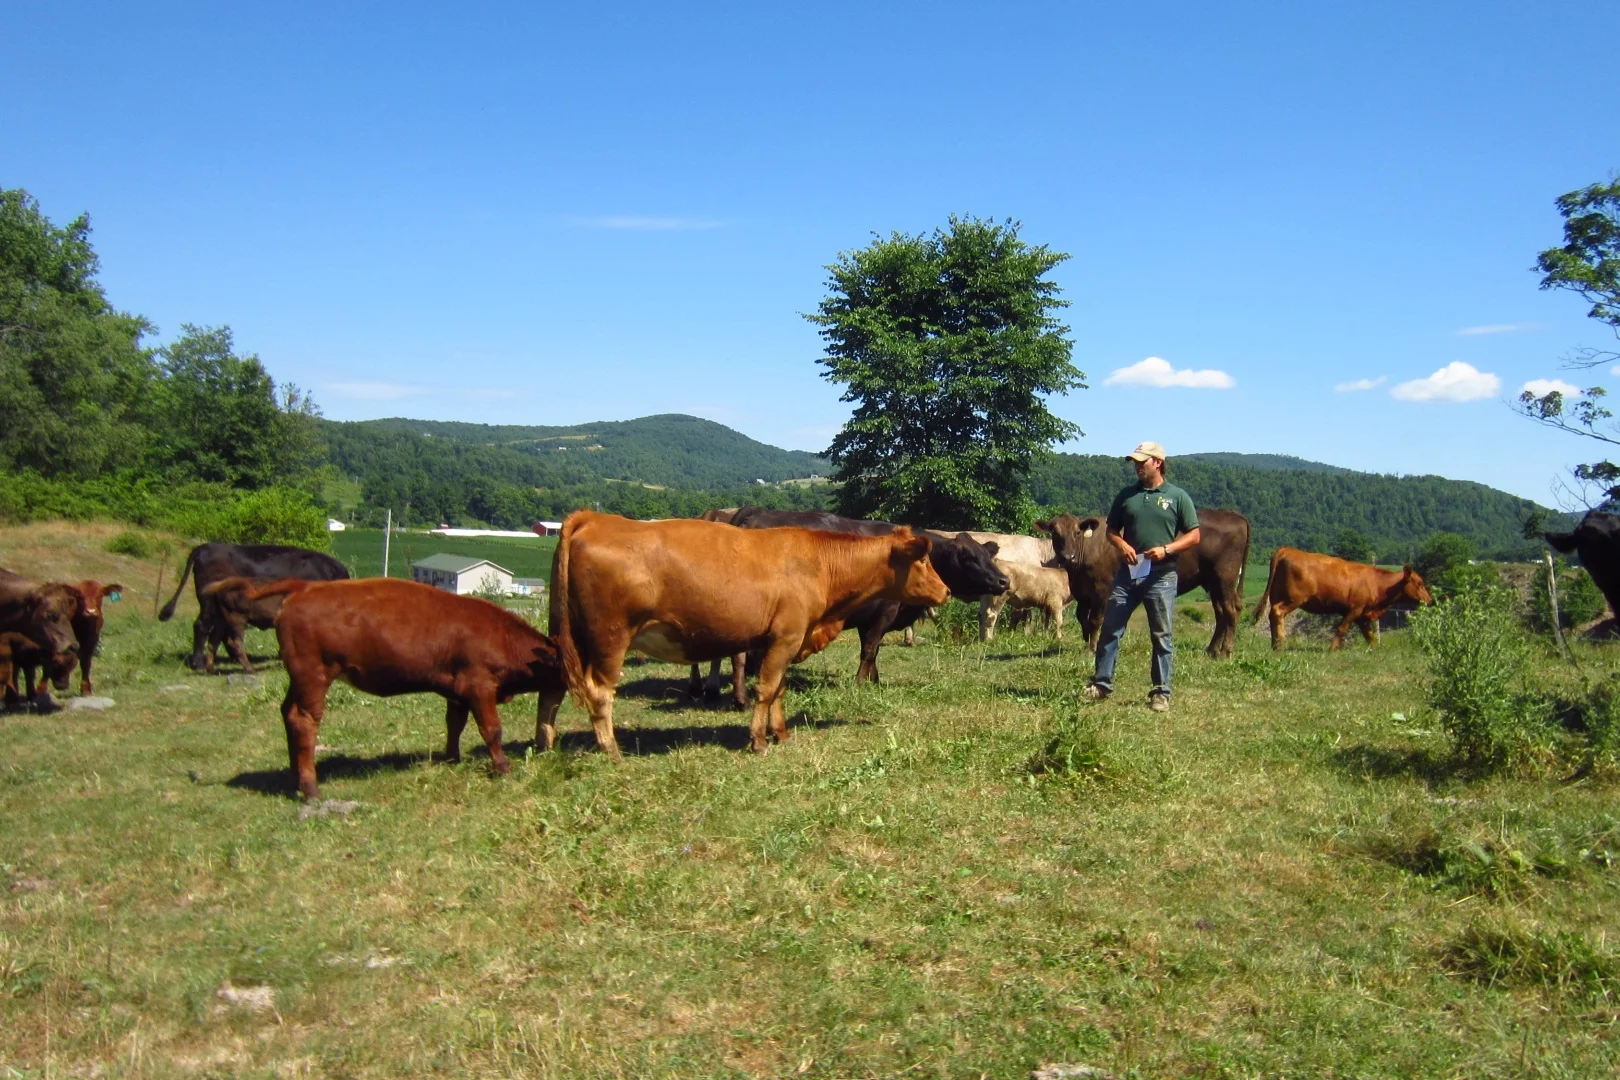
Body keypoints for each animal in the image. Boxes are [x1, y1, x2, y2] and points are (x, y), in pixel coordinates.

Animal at [235, 577, 565, 800]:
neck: (501, 636)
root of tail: (306, 587)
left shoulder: (457, 691)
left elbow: (454, 725)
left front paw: (452, 760)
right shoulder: (479, 685)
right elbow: (492, 730)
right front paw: (502, 768)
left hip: (299, 680)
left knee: (288, 713)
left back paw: (295, 777)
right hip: (313, 676)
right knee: (304, 721)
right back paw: (311, 788)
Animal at [540, 510, 951, 756]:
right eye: (923, 559)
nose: (946, 591)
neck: (819, 562)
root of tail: (595, 518)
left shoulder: (785, 641)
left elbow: (779, 689)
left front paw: (780, 733)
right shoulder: (786, 638)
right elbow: (766, 689)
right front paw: (758, 740)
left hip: (569, 636)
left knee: (552, 689)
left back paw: (545, 743)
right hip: (609, 637)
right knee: (599, 692)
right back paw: (612, 751)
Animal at [727, 507, 1008, 686]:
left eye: (987, 554)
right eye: (969, 557)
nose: (1004, 581)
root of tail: (756, 511)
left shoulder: (868, 617)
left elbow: (872, 651)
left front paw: (875, 680)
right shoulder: (883, 614)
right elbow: (870, 649)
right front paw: (862, 682)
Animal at [1037, 508, 1252, 657]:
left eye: (1077, 533)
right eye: (1055, 533)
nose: (1067, 556)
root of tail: (1233, 515)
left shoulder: (1101, 590)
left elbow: (1095, 620)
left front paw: (1092, 648)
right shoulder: (1083, 592)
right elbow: (1082, 617)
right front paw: (1086, 640)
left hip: (1225, 578)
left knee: (1231, 611)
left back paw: (1224, 651)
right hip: (1212, 583)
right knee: (1221, 612)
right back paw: (1211, 649)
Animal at [1251, 548, 1433, 649]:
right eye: (1420, 583)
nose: (1430, 600)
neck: (1376, 583)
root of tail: (1287, 549)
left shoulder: (1362, 614)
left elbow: (1369, 634)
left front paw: (1375, 649)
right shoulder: (1354, 609)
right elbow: (1342, 628)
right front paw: (1333, 648)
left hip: (1277, 596)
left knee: (1271, 615)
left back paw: (1274, 643)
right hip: (1294, 599)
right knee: (1277, 612)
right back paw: (1280, 641)